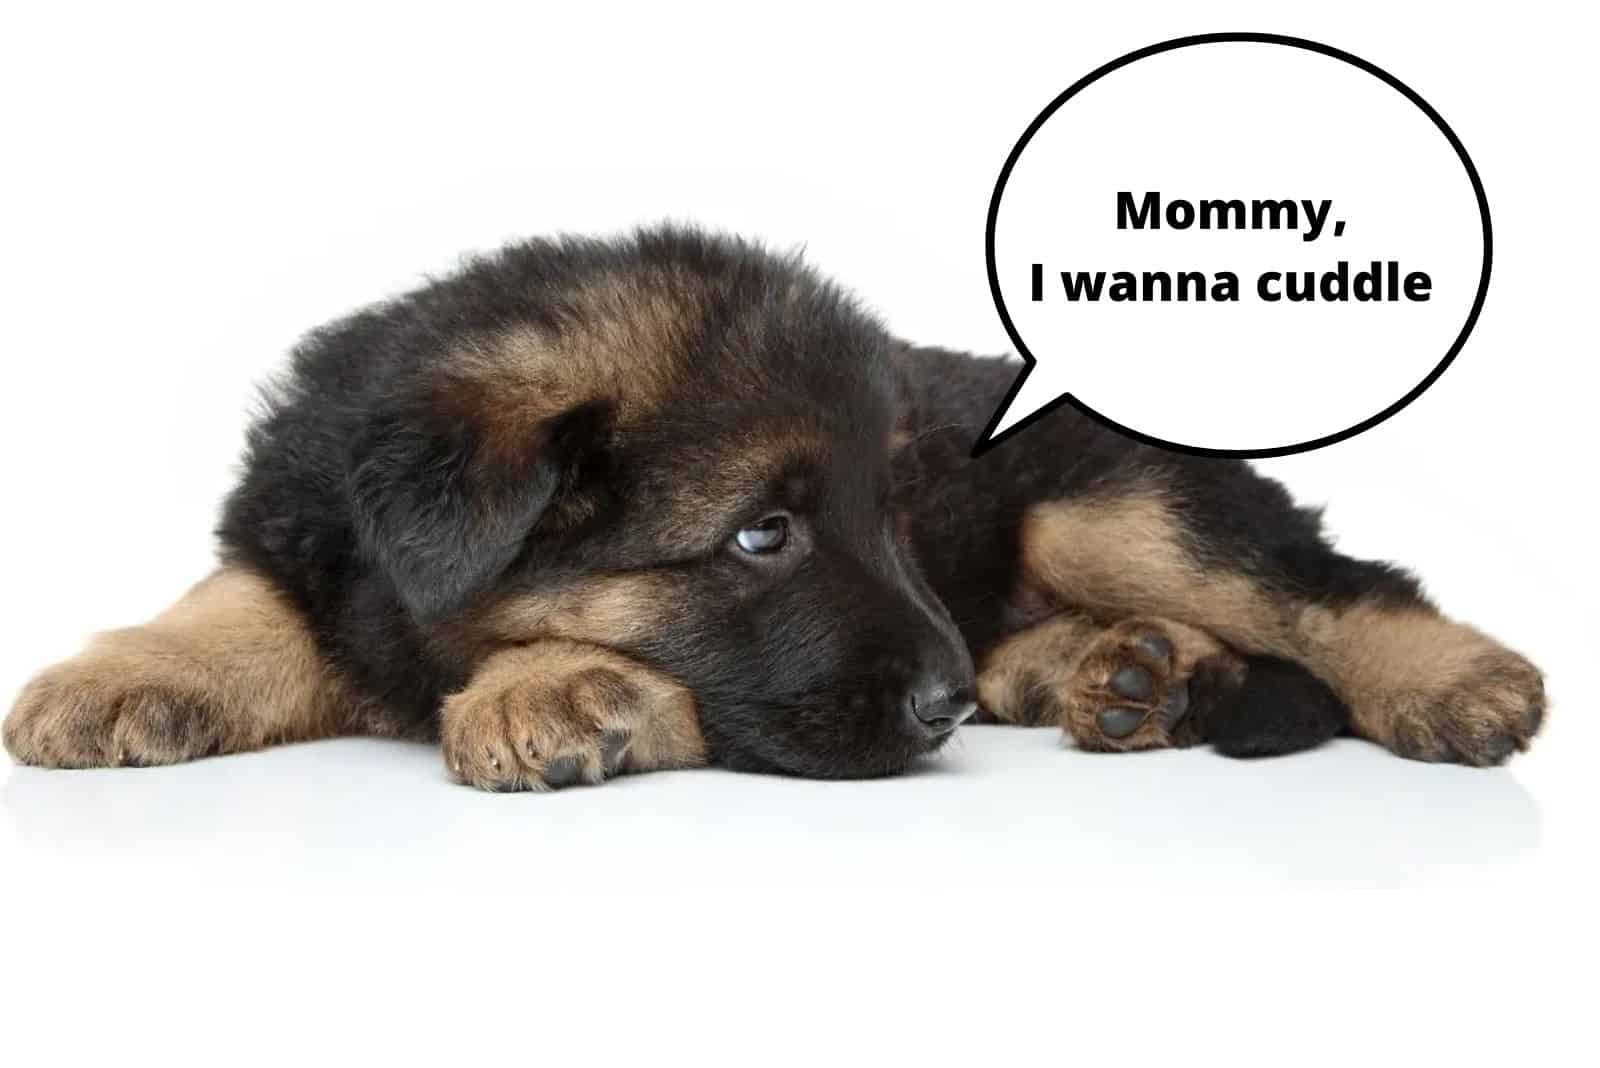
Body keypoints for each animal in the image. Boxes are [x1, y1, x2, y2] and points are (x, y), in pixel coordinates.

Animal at [3, 223, 1548, 783]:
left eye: (889, 516)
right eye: (763, 533)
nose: (938, 711)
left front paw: (550, 683)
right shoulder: (314, 536)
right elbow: (239, 597)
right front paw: (122, 673)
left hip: (1101, 503)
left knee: (1332, 587)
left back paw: (1455, 682)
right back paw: (1119, 673)